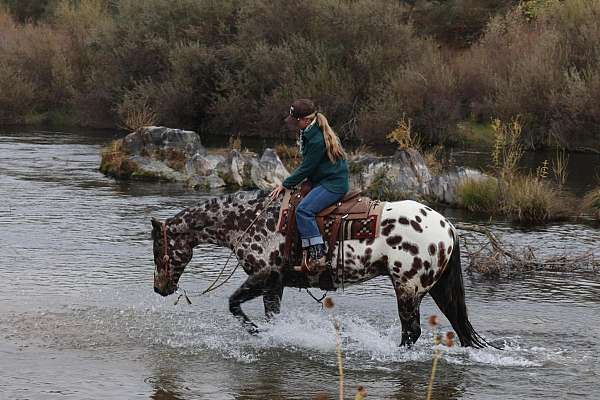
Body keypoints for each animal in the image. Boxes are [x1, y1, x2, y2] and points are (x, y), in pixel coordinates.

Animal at [152, 190, 490, 346]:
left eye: (157, 247)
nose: (159, 288)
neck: (248, 220)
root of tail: (447, 226)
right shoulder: (274, 285)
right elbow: (271, 315)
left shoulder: (264, 275)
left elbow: (233, 304)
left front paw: (255, 331)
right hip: (438, 288)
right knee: (459, 327)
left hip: (408, 287)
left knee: (411, 331)